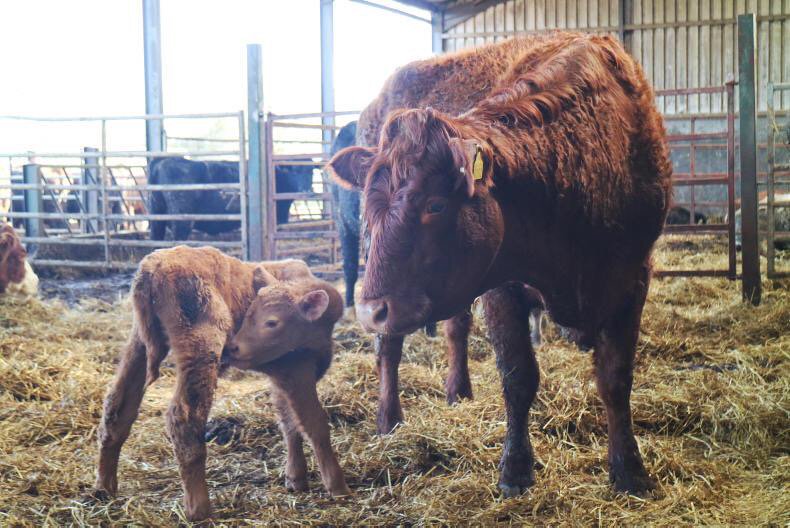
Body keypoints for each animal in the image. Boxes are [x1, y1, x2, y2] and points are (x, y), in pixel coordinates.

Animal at [95, 246, 349, 521]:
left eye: (270, 321)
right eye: (251, 315)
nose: (234, 347)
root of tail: (153, 266)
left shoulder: (281, 377)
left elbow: (289, 422)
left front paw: (296, 480)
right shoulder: (296, 369)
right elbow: (314, 424)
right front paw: (338, 487)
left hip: (138, 346)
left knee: (117, 408)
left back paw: (104, 489)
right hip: (201, 348)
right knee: (184, 419)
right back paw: (200, 509)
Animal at [148, 157, 313, 241]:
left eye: (311, 171)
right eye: (294, 171)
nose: (306, 190)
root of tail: (163, 160)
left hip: (157, 219)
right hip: (181, 222)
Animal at [329, 33, 672, 497]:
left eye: (435, 205)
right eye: (369, 208)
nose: (371, 309)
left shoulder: (633, 276)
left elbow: (616, 378)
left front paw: (630, 469)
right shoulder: (501, 286)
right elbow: (518, 376)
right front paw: (515, 469)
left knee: (455, 328)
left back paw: (458, 390)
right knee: (389, 347)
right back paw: (390, 419)